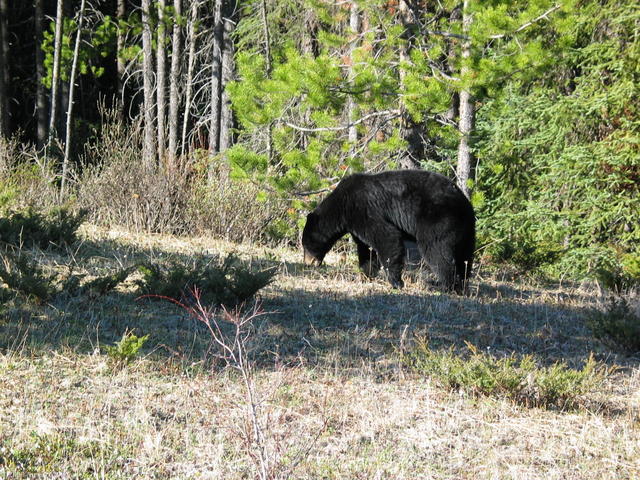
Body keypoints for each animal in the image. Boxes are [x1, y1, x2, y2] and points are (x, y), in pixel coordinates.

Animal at [302, 169, 476, 293]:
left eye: (305, 245)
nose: (308, 263)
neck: (341, 206)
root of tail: (462, 200)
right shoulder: (356, 223)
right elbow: (367, 249)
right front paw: (366, 275)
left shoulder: (362, 209)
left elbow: (386, 237)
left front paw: (396, 282)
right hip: (466, 228)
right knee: (464, 255)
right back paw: (462, 283)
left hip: (438, 218)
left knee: (437, 250)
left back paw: (443, 286)